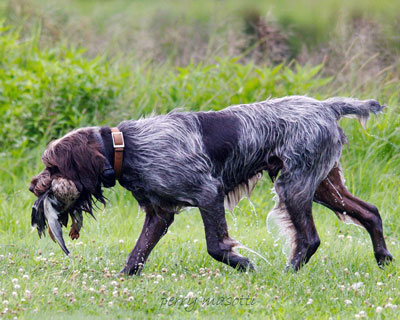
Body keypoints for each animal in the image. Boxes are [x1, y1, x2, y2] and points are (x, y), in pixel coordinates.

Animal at [28, 96, 394, 274]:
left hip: (294, 186)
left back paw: (289, 272)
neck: (127, 147)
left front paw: (245, 265)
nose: (34, 188)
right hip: (320, 185)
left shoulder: (208, 193)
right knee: (371, 212)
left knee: (310, 239)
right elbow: (136, 256)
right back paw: (383, 259)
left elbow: (216, 247)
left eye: (52, 166)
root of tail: (326, 106)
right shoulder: (159, 214)